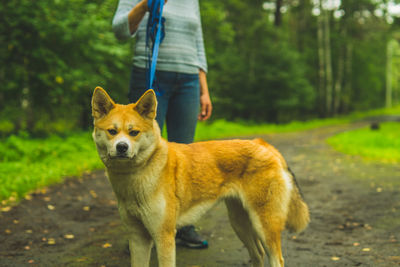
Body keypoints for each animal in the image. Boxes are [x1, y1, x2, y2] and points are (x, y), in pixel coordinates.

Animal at [90, 87, 310, 266]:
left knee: (276, 258)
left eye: (133, 132)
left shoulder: (163, 236)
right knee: (258, 255)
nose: (122, 147)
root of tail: (262, 144)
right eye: (112, 131)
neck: (135, 179)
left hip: (264, 226)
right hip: (240, 222)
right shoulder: (137, 238)